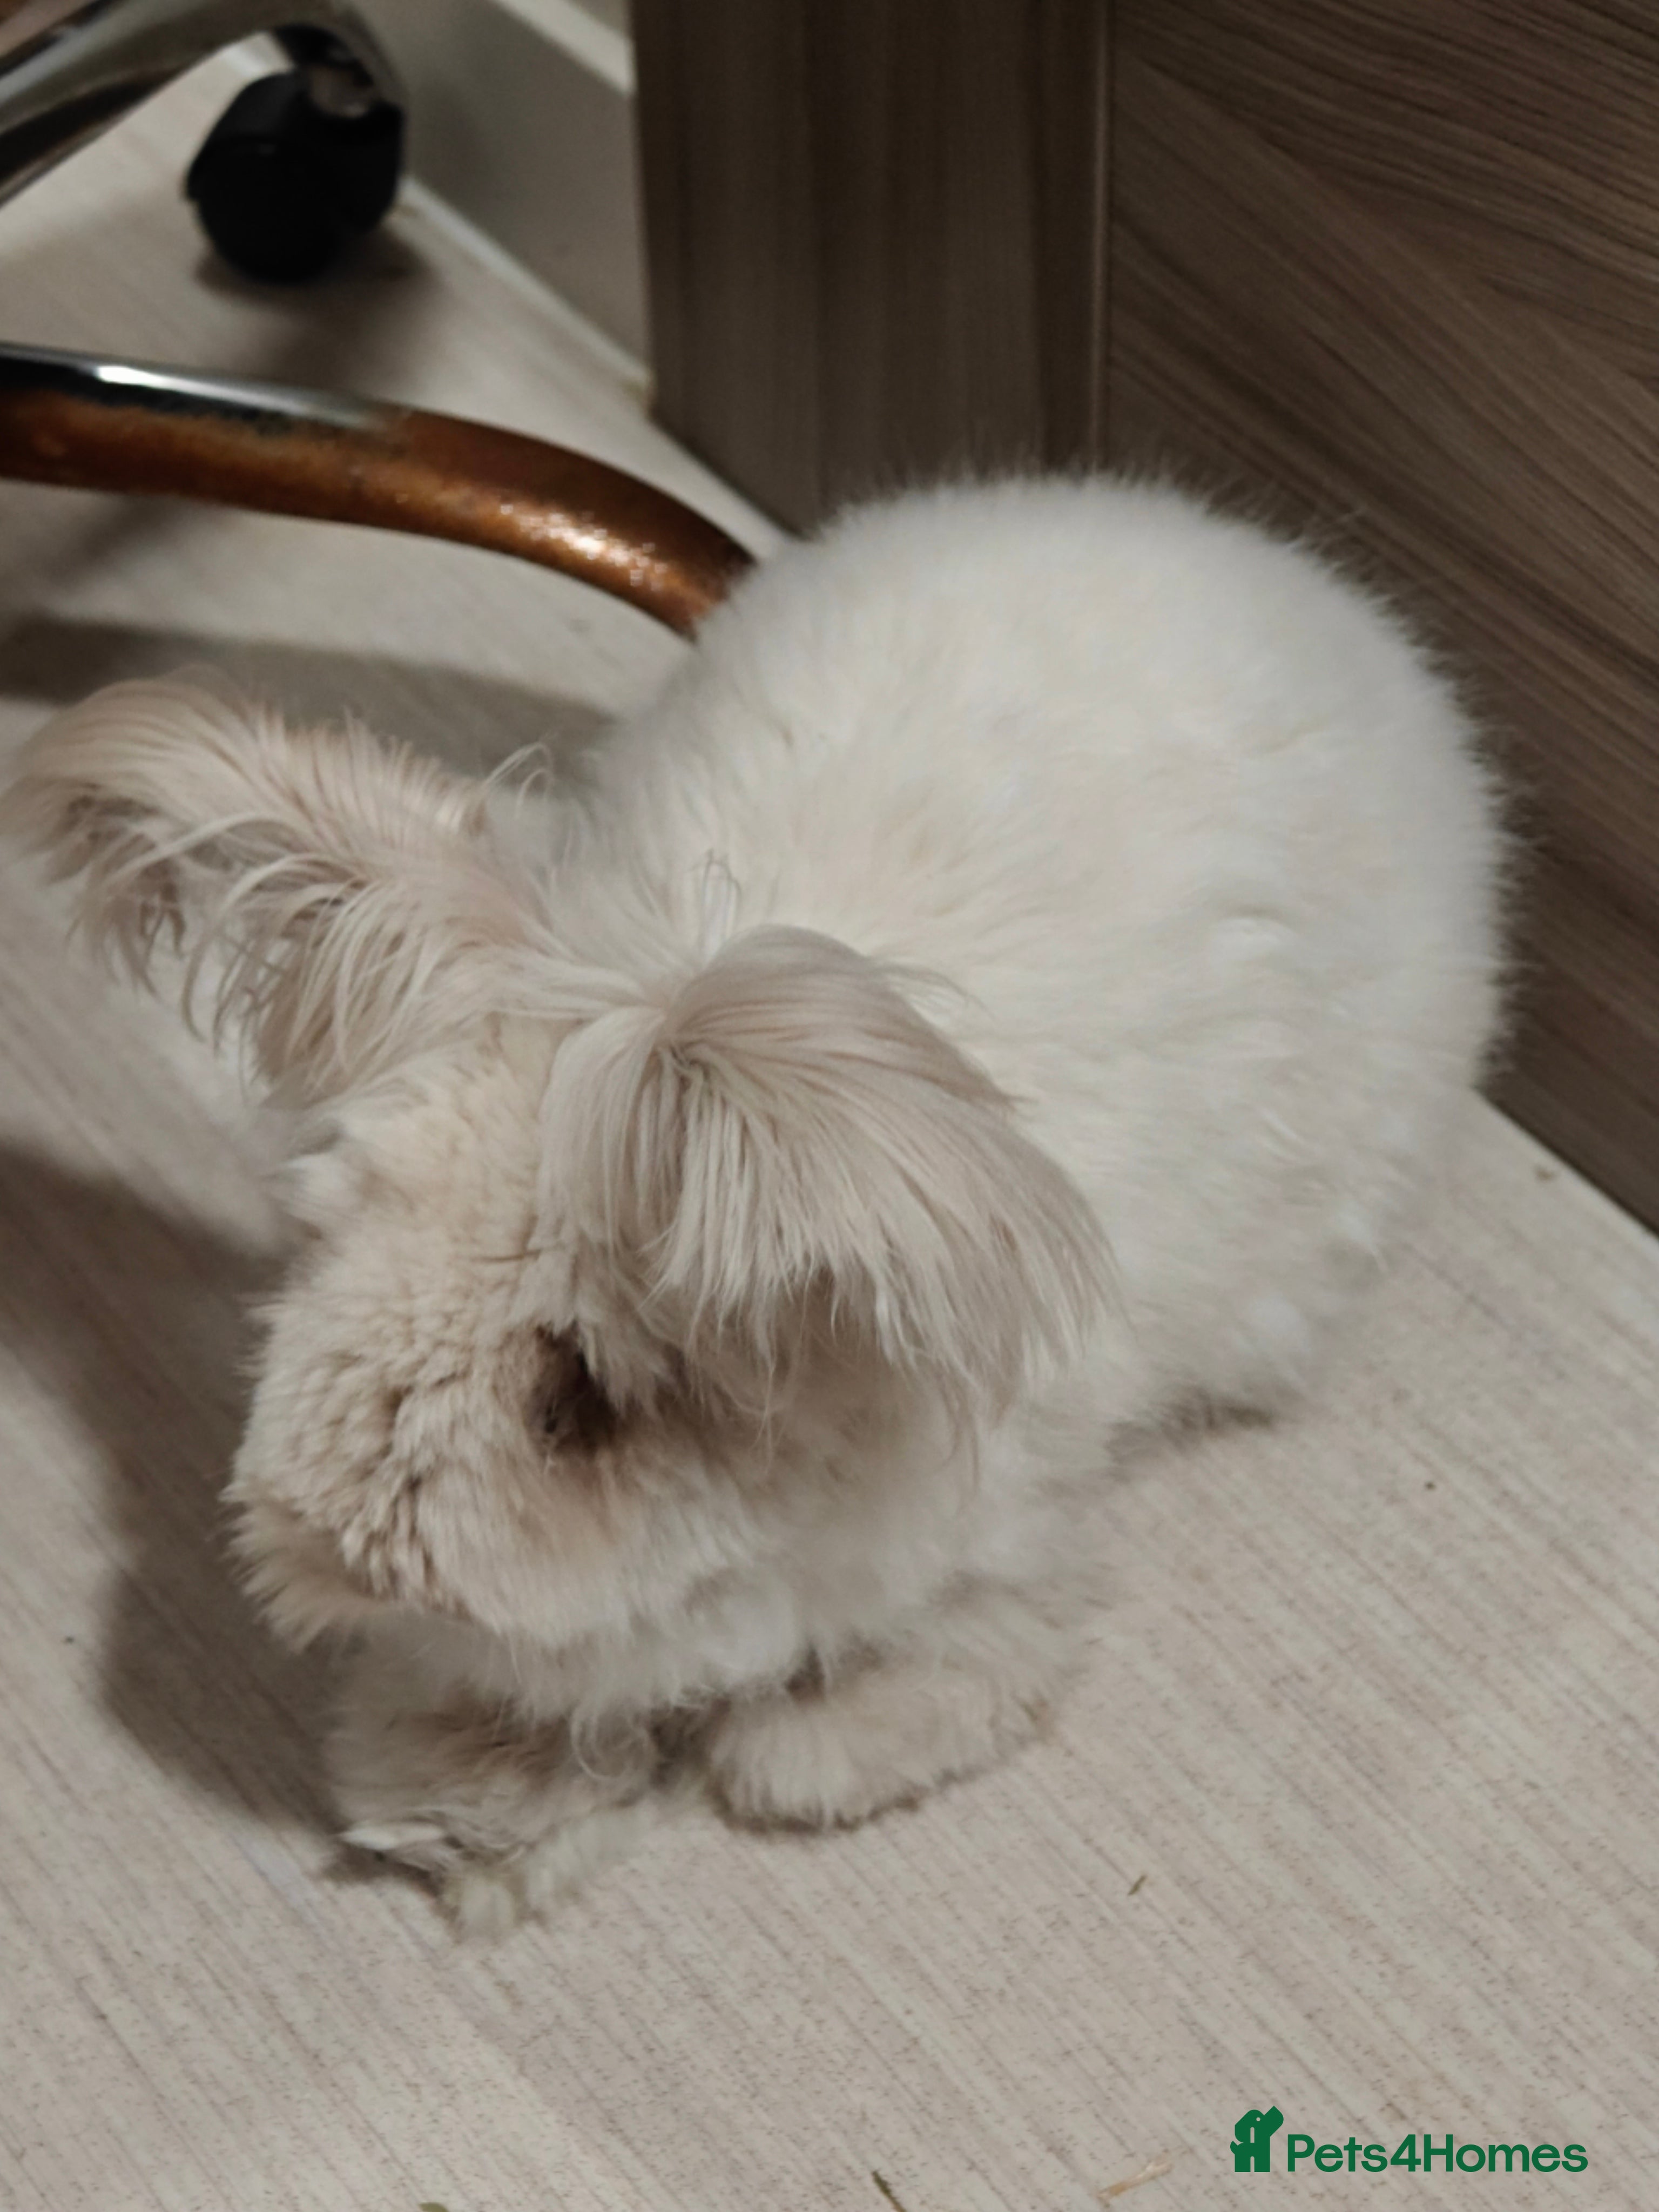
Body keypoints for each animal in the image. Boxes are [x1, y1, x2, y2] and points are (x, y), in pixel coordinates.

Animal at [3, 476, 1505, 1931]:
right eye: (320, 1236)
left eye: (575, 1396)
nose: (334, 1555)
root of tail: (1251, 555)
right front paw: (456, 1799)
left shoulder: (1005, 1527)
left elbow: (981, 1646)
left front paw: (803, 1757)